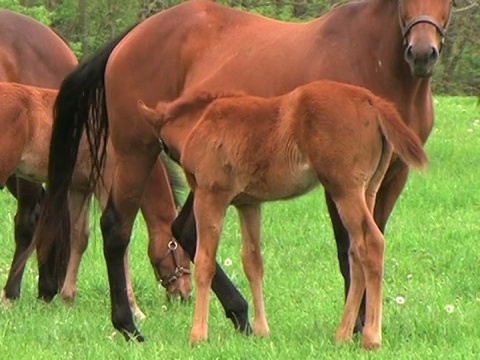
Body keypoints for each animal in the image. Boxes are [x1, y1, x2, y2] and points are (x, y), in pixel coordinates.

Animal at [34, 0, 454, 344]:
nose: (422, 53)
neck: (372, 58)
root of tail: (127, 40)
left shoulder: (392, 176)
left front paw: (360, 324)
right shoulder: (338, 184)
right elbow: (346, 249)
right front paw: (359, 326)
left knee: (182, 230)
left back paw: (240, 315)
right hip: (136, 152)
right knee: (116, 228)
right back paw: (129, 325)